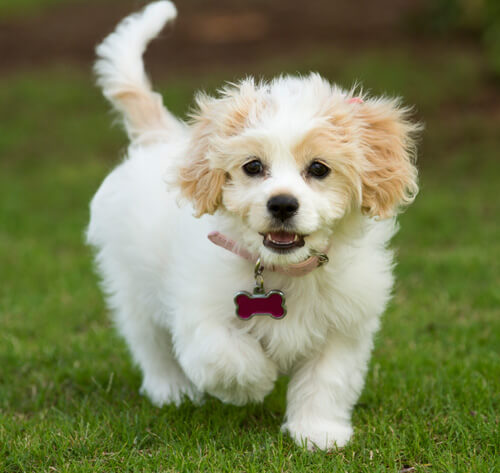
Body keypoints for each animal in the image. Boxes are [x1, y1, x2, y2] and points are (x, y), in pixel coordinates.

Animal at [88, 0, 420, 450]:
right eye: (252, 166)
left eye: (319, 168)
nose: (281, 204)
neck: (285, 271)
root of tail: (161, 139)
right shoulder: (200, 312)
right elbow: (226, 357)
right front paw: (257, 382)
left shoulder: (344, 327)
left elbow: (326, 381)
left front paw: (318, 432)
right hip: (132, 285)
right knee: (149, 342)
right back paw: (170, 389)